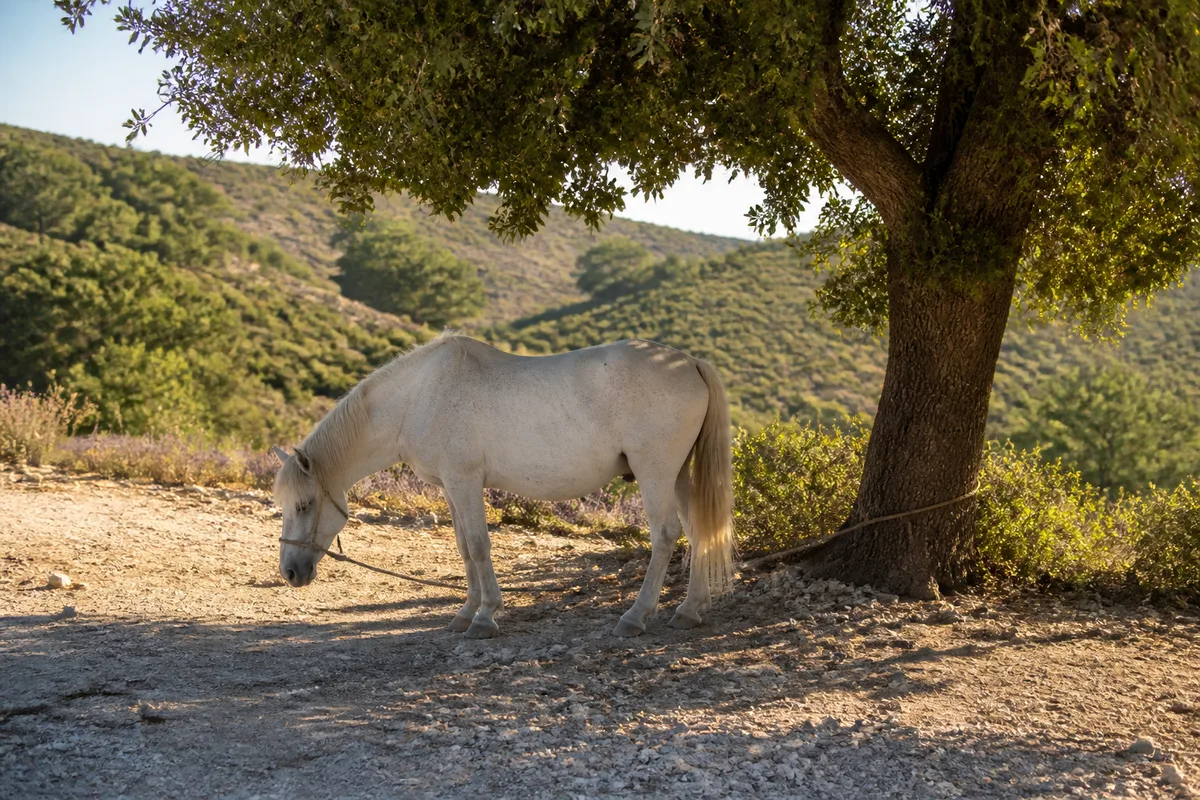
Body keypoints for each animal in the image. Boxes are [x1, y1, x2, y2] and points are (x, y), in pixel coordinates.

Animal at [272, 333, 736, 639]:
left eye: (305, 504)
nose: (290, 572)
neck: (420, 397)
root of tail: (690, 363)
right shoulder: (451, 486)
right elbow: (464, 547)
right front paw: (466, 612)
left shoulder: (464, 481)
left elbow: (479, 546)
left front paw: (485, 617)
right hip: (677, 474)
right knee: (698, 532)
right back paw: (689, 610)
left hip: (654, 472)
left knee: (666, 536)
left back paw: (635, 616)